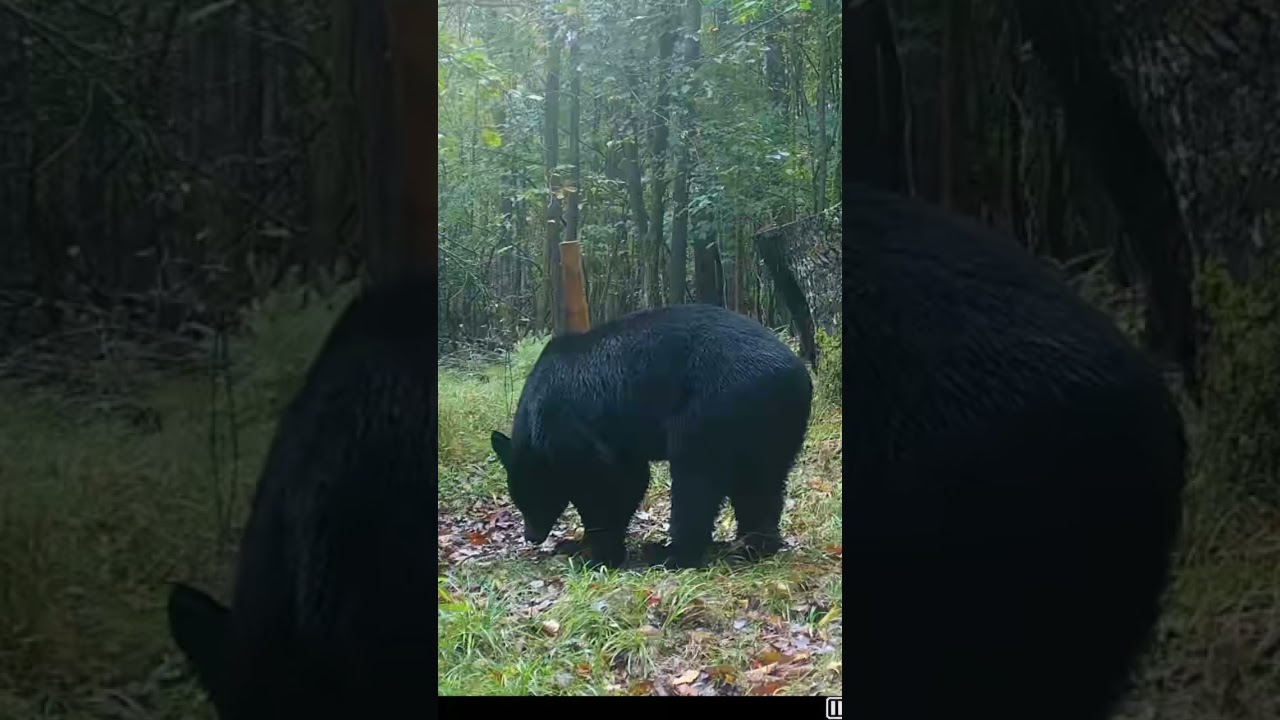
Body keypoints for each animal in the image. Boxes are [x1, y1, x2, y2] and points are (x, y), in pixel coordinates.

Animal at [491, 303, 813, 570]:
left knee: (696, 481)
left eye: (530, 497)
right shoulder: (620, 442)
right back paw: (753, 545)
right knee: (761, 486)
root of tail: (796, 373)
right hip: (770, 429)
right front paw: (578, 544)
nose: (531, 536)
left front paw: (599, 554)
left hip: (713, 411)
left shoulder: (570, 427)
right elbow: (631, 478)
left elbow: (602, 482)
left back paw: (671, 553)